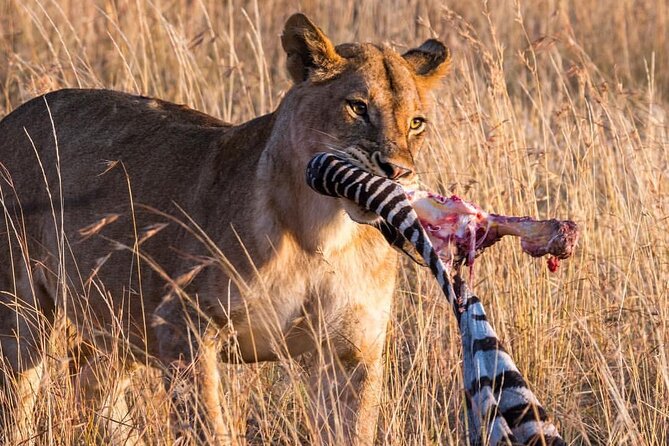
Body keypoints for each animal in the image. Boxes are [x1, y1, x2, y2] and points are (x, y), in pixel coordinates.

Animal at [0, 13, 450, 445]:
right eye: (357, 107)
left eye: (417, 122)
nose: (398, 171)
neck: (322, 233)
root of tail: (15, 116)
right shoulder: (182, 329)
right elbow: (208, 427)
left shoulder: (352, 351)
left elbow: (354, 430)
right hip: (22, 314)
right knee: (18, 401)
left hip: (114, 318)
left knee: (94, 388)